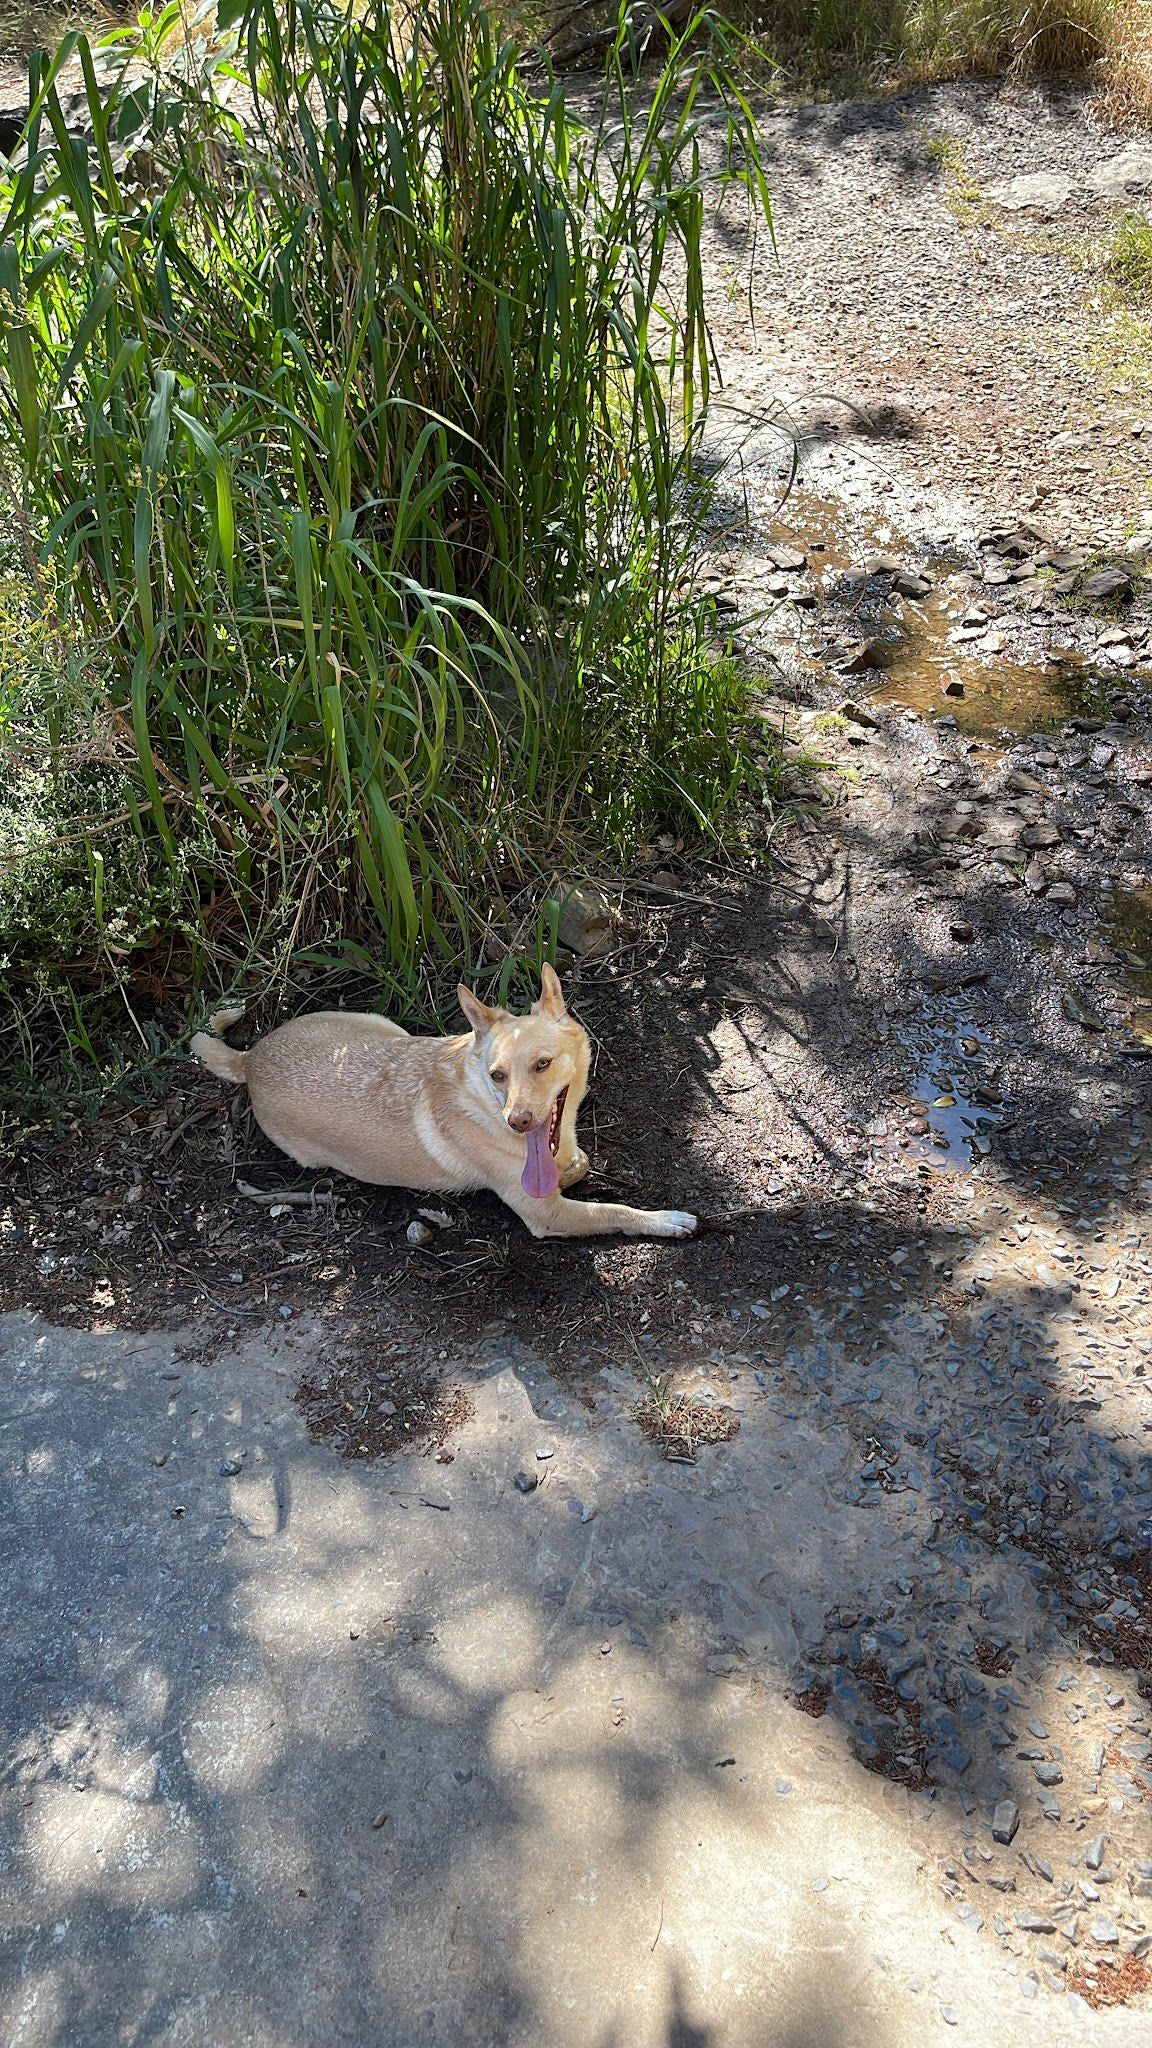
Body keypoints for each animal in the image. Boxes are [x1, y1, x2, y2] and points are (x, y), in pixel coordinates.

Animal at [188, 966, 696, 1236]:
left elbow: (579, 1163)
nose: (518, 1121)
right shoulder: (546, 1213)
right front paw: (665, 1219)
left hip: (384, 1025)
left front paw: (573, 1166)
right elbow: (615, 1211)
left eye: (543, 1064)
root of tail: (251, 1058)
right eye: (497, 1075)